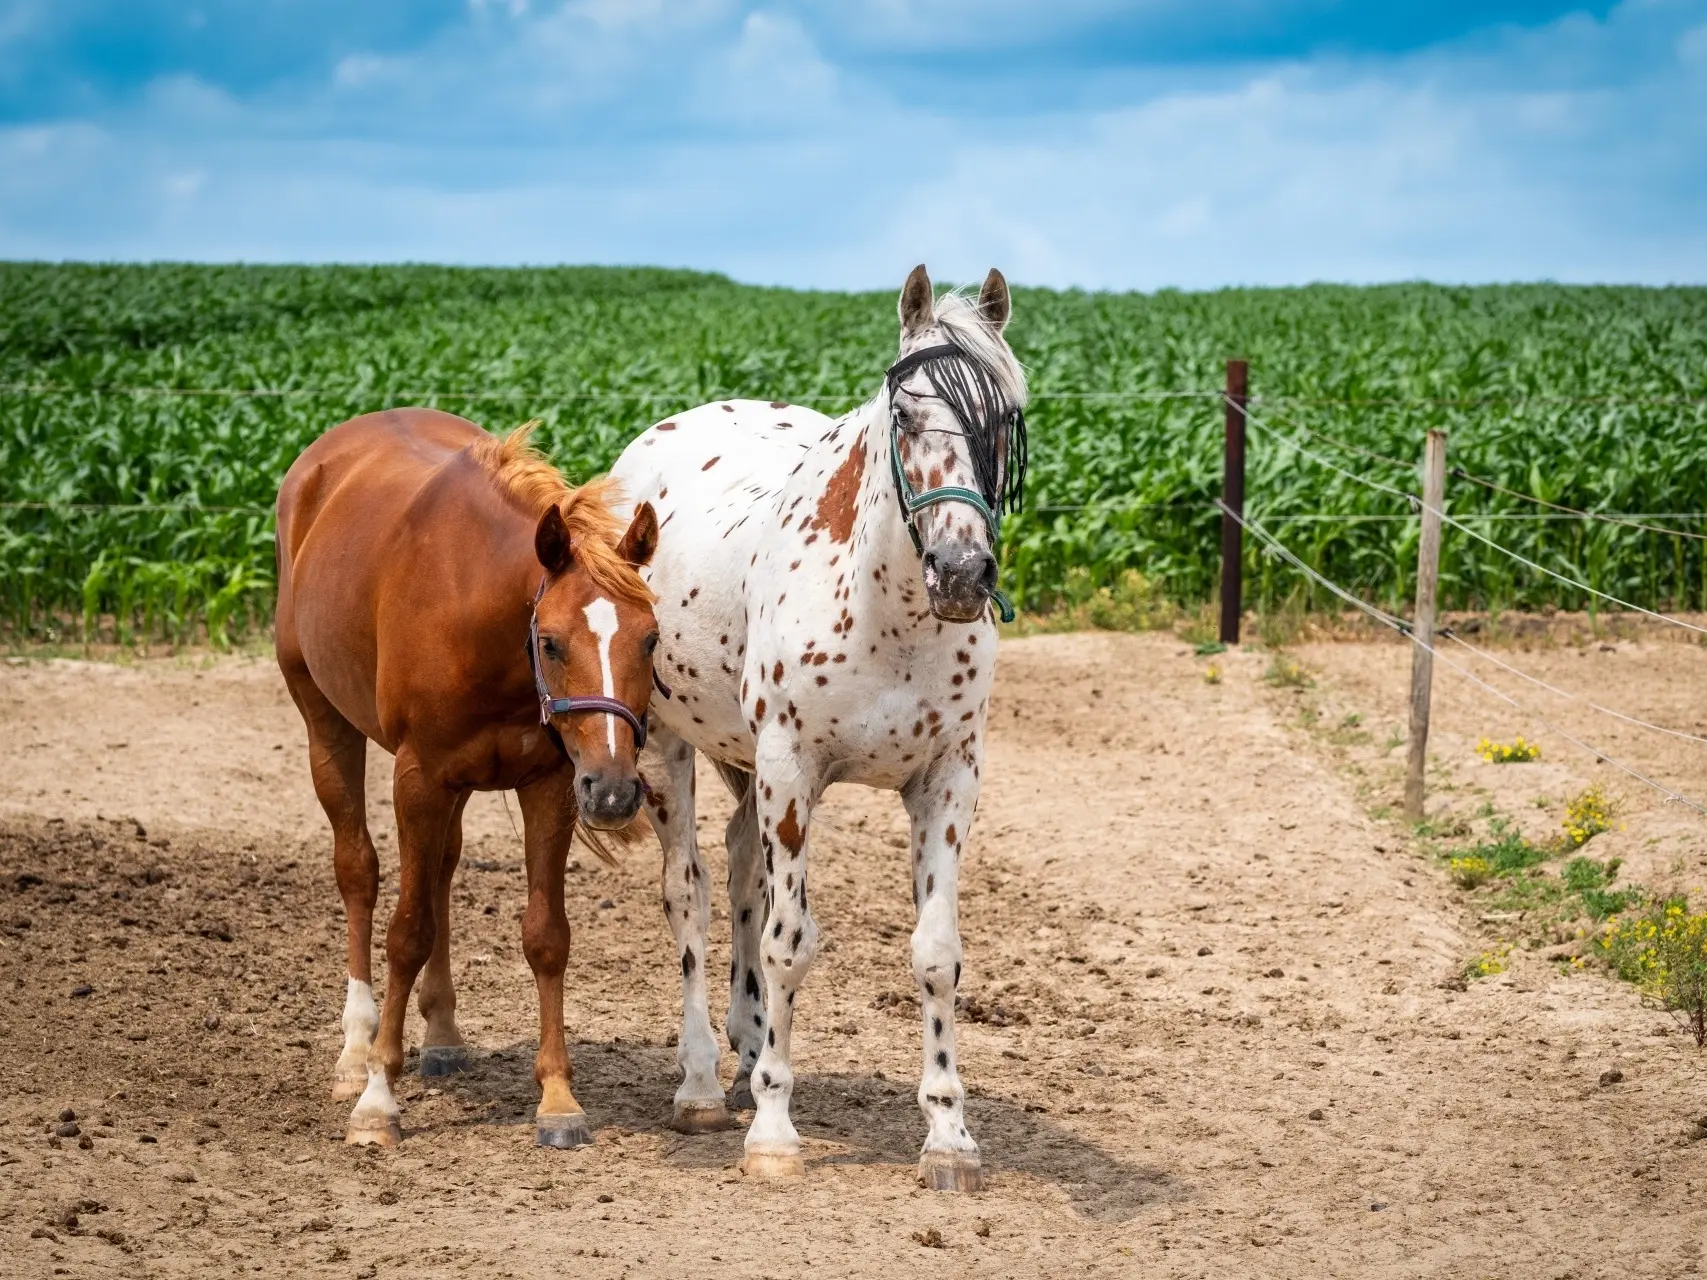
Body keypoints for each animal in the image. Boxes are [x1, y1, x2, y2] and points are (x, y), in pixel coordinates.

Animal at [276, 411, 655, 1153]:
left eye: (650, 640)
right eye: (552, 643)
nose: (615, 793)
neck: (479, 613)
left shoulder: (548, 783)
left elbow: (545, 935)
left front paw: (558, 1099)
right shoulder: (419, 777)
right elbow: (406, 931)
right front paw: (377, 1099)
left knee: (442, 871)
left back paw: (443, 1033)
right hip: (325, 722)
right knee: (359, 871)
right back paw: (354, 1050)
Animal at [614, 262, 1024, 1194]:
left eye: (1006, 417)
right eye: (904, 414)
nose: (960, 572)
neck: (882, 610)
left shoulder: (946, 781)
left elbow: (934, 953)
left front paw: (948, 1135)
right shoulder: (791, 770)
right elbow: (789, 945)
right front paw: (771, 1129)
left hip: (742, 765)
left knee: (739, 873)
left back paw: (743, 1048)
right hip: (670, 749)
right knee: (689, 892)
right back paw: (702, 1083)